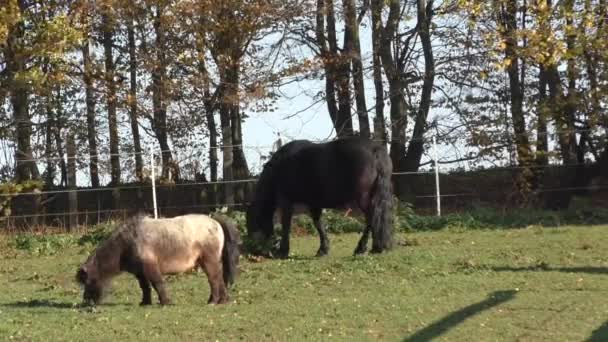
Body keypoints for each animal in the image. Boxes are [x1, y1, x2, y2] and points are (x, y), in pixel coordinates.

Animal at [75, 214, 239, 304]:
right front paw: (145, 302)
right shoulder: (139, 272)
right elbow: (145, 287)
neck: (128, 242)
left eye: (88, 281)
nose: (86, 302)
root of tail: (215, 221)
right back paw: (222, 300)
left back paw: (213, 301)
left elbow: (157, 283)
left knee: (214, 279)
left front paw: (165, 302)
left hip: (208, 260)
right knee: (219, 278)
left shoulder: (150, 267)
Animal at [247, 136, 394, 256]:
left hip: (363, 197)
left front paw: (283, 251)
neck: (278, 168)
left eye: (251, 222)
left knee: (371, 217)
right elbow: (318, 223)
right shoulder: (314, 203)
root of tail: (375, 150)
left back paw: (363, 248)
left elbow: (286, 224)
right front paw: (323, 249)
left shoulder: (286, 201)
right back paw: (377, 247)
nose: (253, 250)